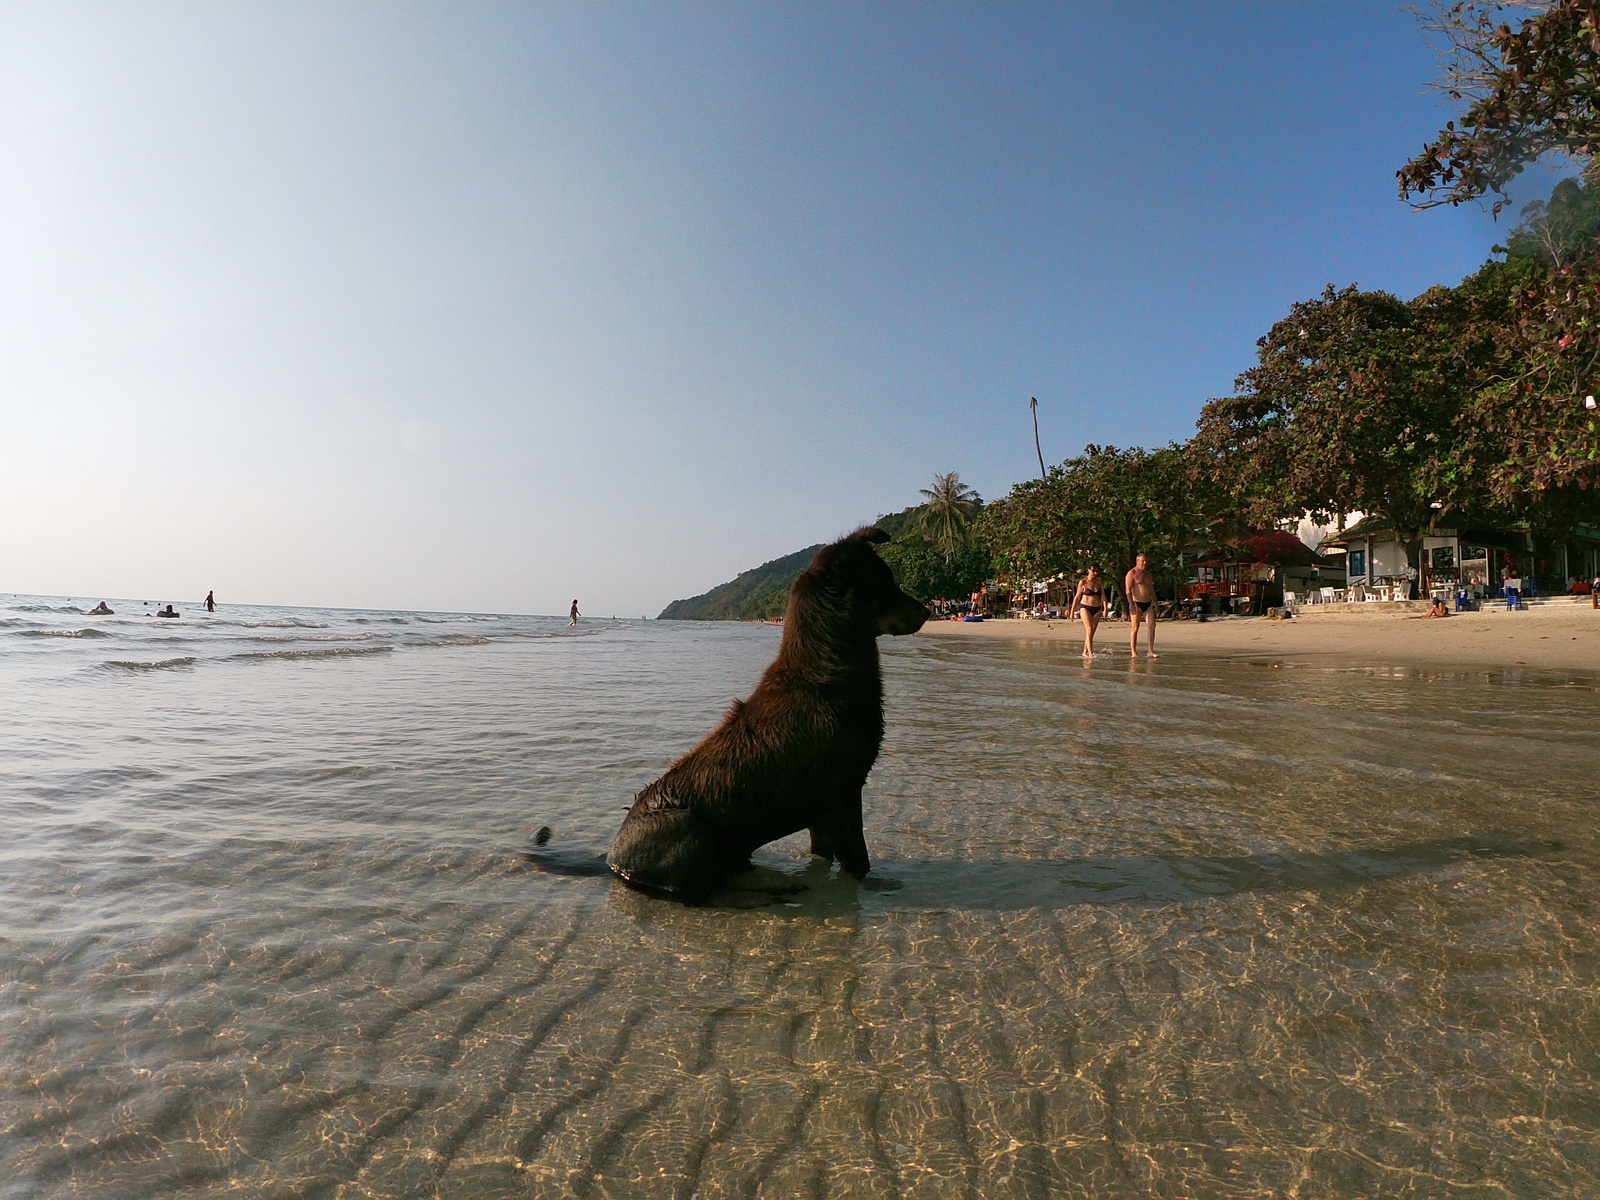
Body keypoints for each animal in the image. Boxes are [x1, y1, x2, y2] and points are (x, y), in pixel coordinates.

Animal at [601, 531, 928, 896]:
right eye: (885, 580)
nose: (928, 610)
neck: (823, 671)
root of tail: (612, 864)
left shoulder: (822, 806)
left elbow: (823, 853)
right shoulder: (843, 791)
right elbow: (858, 860)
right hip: (688, 827)